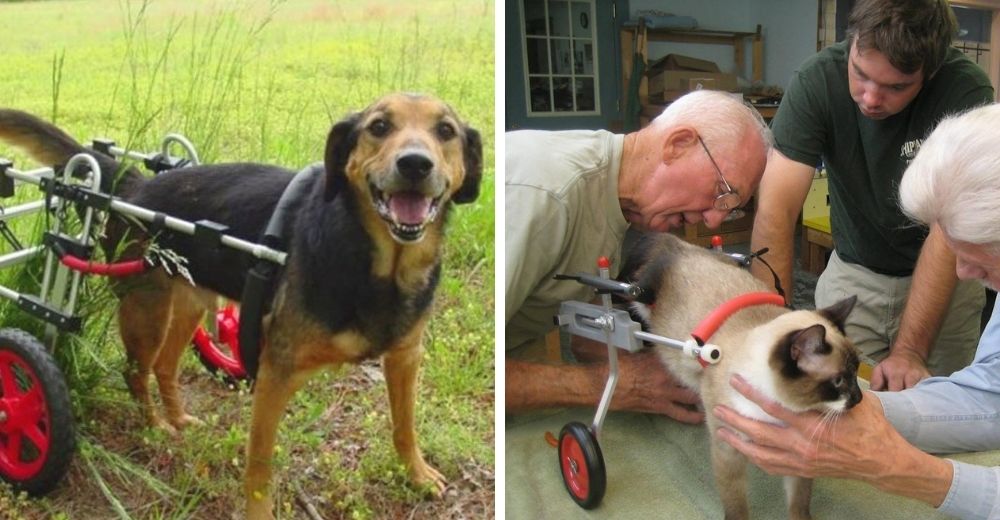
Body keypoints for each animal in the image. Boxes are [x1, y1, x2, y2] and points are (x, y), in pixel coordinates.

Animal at [0, 94, 480, 520]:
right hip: (146, 309)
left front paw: (417, 475)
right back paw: (154, 426)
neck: (379, 267)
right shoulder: (275, 374)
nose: (415, 164)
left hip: (189, 302)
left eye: (446, 131)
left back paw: (178, 419)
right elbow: (259, 467)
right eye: (379, 126)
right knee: (136, 372)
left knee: (165, 367)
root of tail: (135, 183)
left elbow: (404, 426)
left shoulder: (405, 358)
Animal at [624, 233, 860, 520]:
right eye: (838, 381)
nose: (859, 398)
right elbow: (736, 506)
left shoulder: (797, 460)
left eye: (857, 371)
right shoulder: (729, 451)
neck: (776, 414)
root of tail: (677, 245)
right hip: (639, 303)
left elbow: (799, 505)